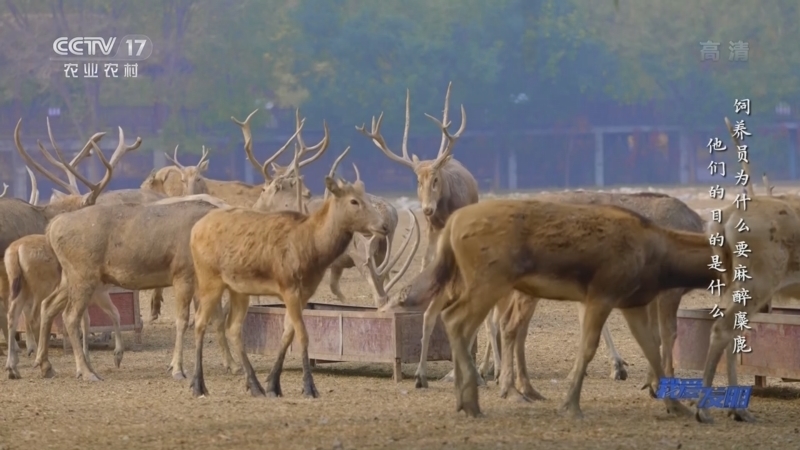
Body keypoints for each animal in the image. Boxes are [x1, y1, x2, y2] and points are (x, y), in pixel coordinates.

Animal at [188, 143, 389, 398]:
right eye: (354, 201)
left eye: (367, 198)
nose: (383, 225)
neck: (312, 248)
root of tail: (194, 230)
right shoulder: (289, 286)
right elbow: (302, 334)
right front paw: (309, 387)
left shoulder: (304, 292)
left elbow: (287, 333)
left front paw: (273, 385)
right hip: (209, 278)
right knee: (200, 321)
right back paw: (198, 385)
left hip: (238, 288)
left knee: (233, 327)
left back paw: (255, 386)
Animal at [383, 198, 715, 418]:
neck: (660, 259)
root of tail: (451, 224)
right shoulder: (605, 291)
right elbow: (591, 346)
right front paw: (571, 404)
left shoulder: (632, 301)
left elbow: (650, 346)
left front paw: (673, 403)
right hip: (489, 280)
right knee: (459, 320)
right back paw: (475, 399)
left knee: (466, 320)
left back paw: (474, 395)